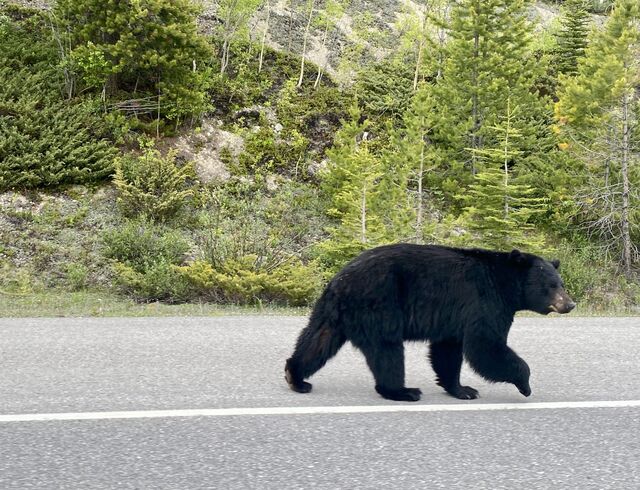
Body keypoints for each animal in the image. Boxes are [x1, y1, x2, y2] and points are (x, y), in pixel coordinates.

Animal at [284, 245, 576, 402]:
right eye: (551, 285)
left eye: (561, 283)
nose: (570, 304)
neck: (504, 285)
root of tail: (340, 281)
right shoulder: (484, 303)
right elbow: (486, 347)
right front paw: (525, 385)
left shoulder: (454, 319)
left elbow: (447, 352)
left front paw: (462, 389)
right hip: (380, 307)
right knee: (388, 352)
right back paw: (403, 391)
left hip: (331, 312)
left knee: (317, 340)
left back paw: (296, 377)